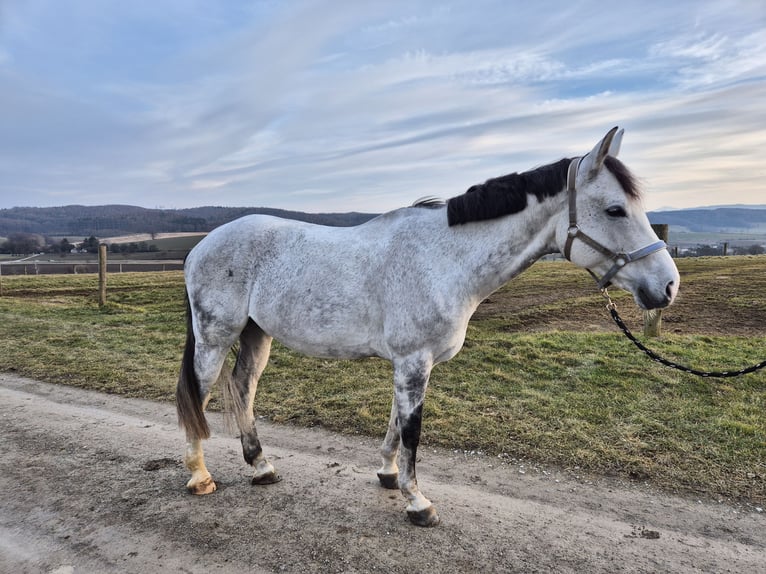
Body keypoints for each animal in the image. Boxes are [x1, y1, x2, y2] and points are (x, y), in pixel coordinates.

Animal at [177, 128, 680, 528]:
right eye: (615, 210)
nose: (668, 286)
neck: (445, 259)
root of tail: (201, 247)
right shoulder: (413, 360)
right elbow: (413, 430)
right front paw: (418, 502)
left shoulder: (412, 364)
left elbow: (397, 423)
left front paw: (387, 475)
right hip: (215, 337)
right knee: (198, 394)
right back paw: (200, 476)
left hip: (255, 334)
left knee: (243, 388)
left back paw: (261, 467)